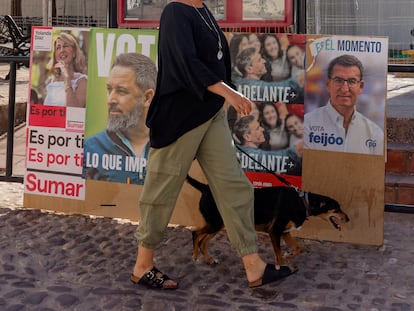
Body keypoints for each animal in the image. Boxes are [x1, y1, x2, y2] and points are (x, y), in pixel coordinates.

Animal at [186, 176, 350, 266]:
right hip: (215, 224)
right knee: (195, 233)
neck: (302, 201)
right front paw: (282, 266)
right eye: (337, 209)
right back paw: (195, 255)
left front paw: (289, 255)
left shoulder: (285, 232)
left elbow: (298, 248)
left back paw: (209, 259)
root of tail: (205, 188)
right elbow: (279, 255)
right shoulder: (275, 231)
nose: (348, 219)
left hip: (218, 225)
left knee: (203, 241)